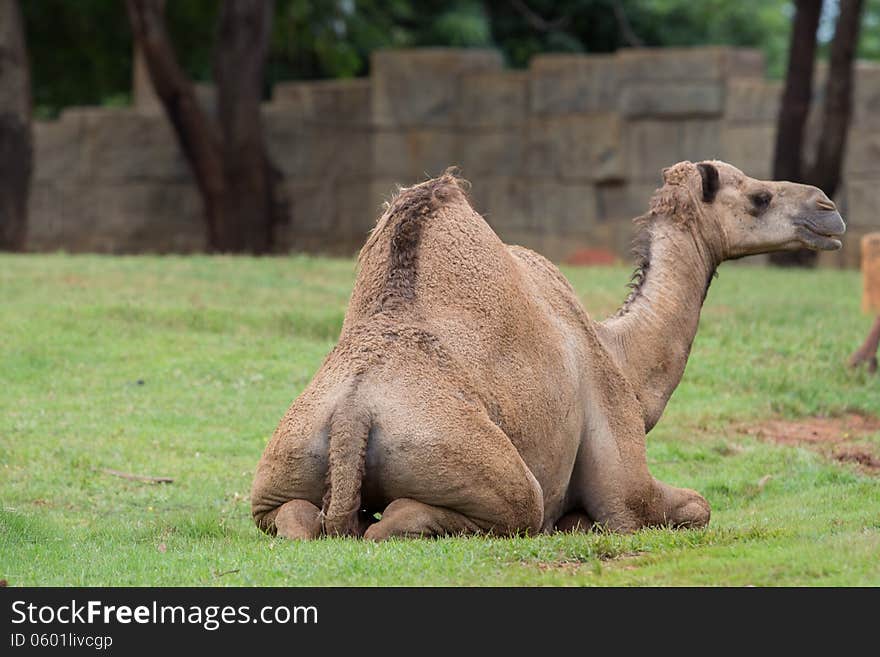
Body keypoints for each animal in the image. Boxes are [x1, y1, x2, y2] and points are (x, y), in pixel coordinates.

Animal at [249, 160, 844, 540]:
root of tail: (352, 415)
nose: (828, 209)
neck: (618, 355)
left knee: (298, 520)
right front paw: (580, 520)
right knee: (480, 515)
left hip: (279, 472)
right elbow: (690, 507)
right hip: (479, 467)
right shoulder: (625, 477)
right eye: (758, 197)